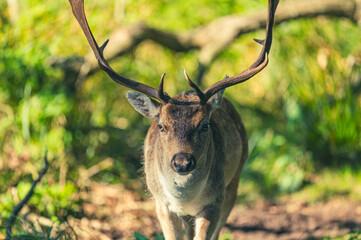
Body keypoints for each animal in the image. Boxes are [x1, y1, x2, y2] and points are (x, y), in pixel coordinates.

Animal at [69, 0, 278, 239]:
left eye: (205, 125)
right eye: (162, 125)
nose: (182, 162)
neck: (184, 198)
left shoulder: (215, 201)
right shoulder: (161, 203)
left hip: (234, 181)